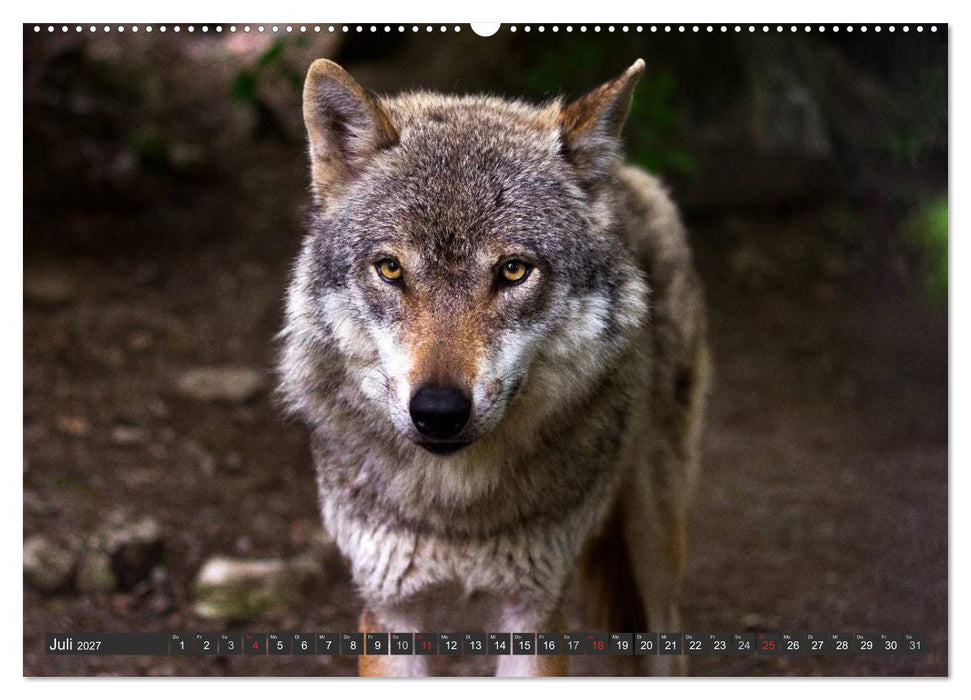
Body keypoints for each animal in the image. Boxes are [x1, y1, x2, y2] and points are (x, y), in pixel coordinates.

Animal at [278, 57, 710, 676]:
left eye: (512, 271)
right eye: (390, 269)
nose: (438, 411)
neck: (456, 508)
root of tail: (626, 176)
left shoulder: (533, 611)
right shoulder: (389, 609)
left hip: (655, 547)